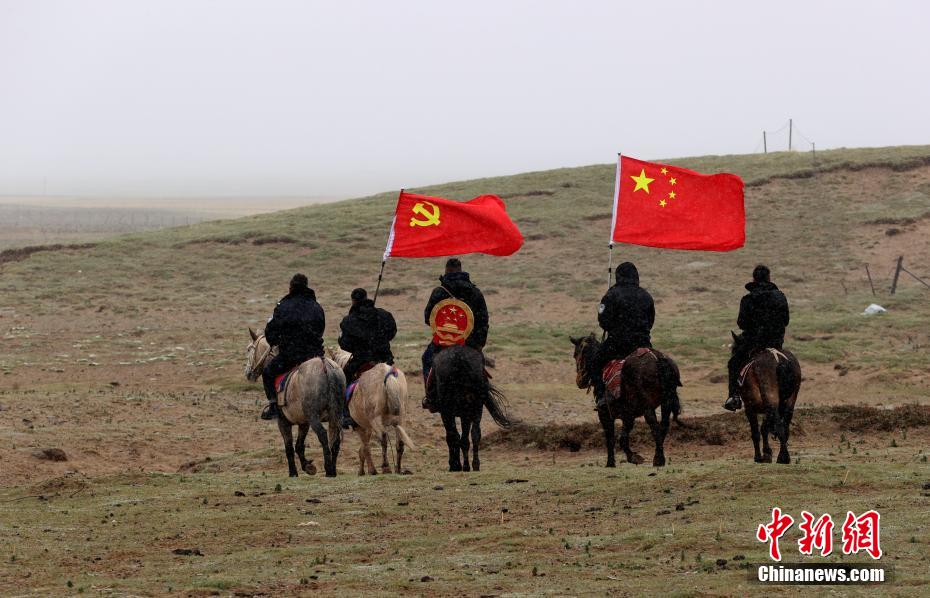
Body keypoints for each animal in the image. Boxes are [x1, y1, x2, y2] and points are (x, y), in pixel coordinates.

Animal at [245, 328, 343, 477]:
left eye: (249, 349)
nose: (248, 373)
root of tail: (326, 367)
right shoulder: (303, 423)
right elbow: (299, 446)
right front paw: (307, 466)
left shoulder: (283, 422)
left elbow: (289, 447)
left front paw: (293, 472)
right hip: (334, 416)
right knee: (335, 439)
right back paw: (334, 470)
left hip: (314, 417)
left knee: (323, 435)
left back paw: (328, 470)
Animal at [327, 347, 415, 476]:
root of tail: (387, 376)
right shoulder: (367, 427)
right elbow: (363, 449)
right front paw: (364, 470)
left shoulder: (361, 427)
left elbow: (365, 448)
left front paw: (370, 470)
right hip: (401, 418)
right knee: (400, 442)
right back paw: (398, 469)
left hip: (375, 419)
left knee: (383, 437)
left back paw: (386, 467)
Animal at [570, 334, 682, 467]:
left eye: (575, 354)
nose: (579, 380)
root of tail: (657, 358)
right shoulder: (628, 415)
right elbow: (623, 437)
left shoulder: (605, 414)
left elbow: (612, 438)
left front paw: (613, 462)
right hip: (666, 401)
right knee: (663, 425)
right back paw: (658, 457)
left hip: (647, 407)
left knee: (654, 426)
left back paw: (658, 459)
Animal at [732, 332, 802, 464]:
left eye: (735, 350)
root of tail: (779, 360)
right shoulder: (768, 407)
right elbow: (764, 428)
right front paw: (767, 453)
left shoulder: (750, 407)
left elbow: (756, 432)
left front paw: (759, 456)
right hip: (789, 401)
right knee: (785, 426)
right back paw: (783, 456)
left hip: (770, 399)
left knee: (779, 426)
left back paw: (783, 457)